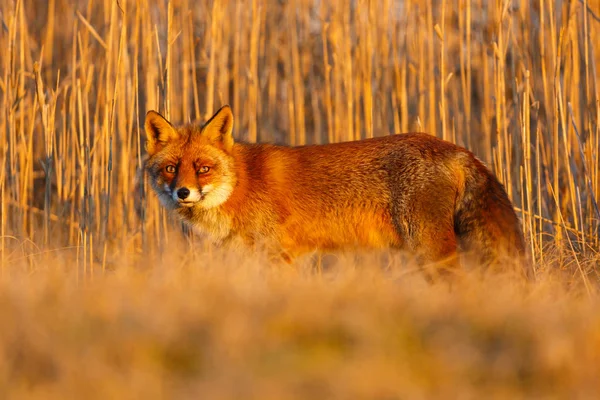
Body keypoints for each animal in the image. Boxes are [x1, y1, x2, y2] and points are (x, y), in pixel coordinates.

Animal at [145, 106, 536, 282]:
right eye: (171, 169)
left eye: (203, 168)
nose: (183, 192)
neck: (243, 182)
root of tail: (457, 149)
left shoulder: (278, 256)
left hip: (429, 251)